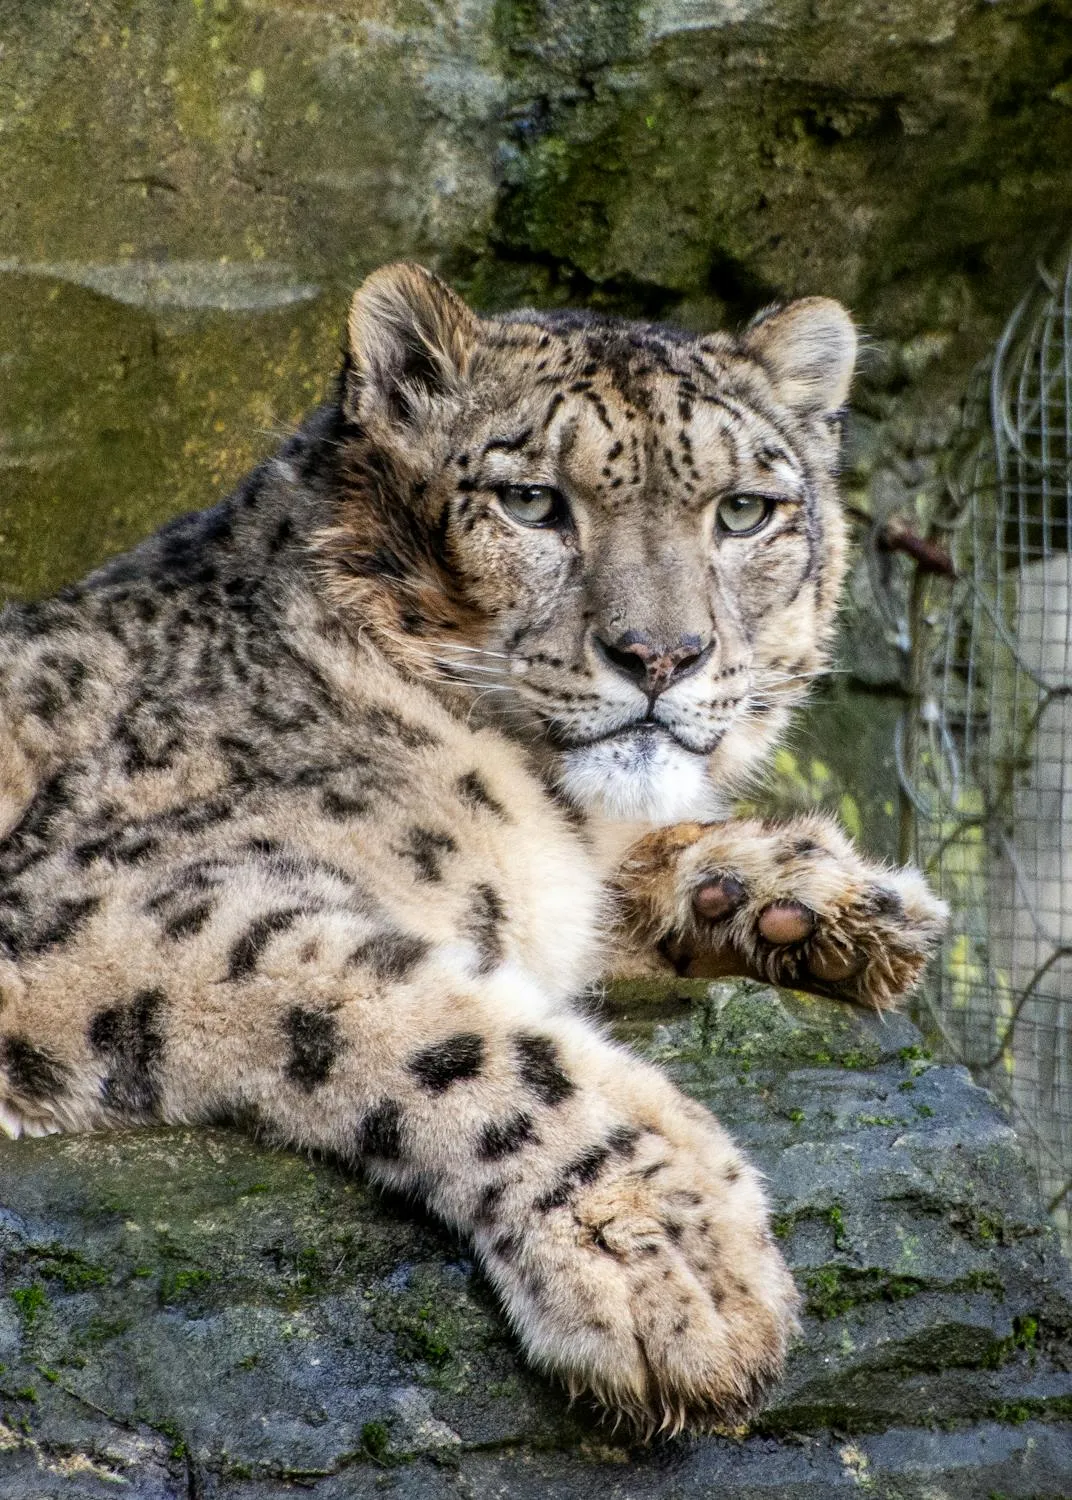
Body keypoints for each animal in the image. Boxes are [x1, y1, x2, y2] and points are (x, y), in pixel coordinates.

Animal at [0, 262, 946, 1435]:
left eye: (742, 511)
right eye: (531, 500)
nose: (661, 655)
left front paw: (816, 900)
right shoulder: (111, 904)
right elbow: (456, 1031)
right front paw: (671, 1259)